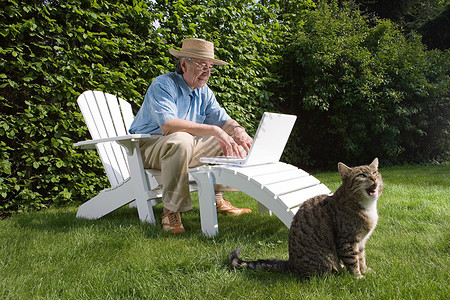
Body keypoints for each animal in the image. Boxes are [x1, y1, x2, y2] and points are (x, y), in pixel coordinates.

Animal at [232, 158, 384, 278]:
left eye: (374, 173)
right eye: (362, 175)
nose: (374, 178)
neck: (367, 207)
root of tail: (290, 263)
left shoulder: (361, 242)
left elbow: (361, 258)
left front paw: (366, 271)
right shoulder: (347, 241)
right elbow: (353, 261)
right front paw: (358, 277)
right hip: (326, 260)